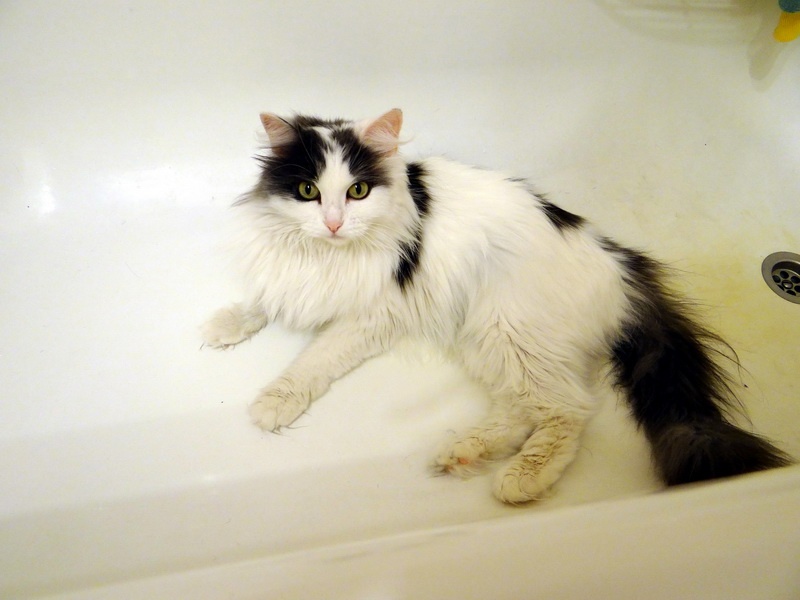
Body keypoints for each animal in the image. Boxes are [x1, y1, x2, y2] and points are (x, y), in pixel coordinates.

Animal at [201, 108, 790, 503]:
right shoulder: (294, 275)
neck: (327, 254)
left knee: (566, 411)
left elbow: (312, 362)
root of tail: (625, 266)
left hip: (506, 327)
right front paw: (225, 324)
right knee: (521, 409)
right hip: (488, 338)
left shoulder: (372, 314)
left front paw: (275, 402)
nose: (332, 223)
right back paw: (466, 451)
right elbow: (263, 300)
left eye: (358, 191)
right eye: (307, 191)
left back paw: (520, 479)